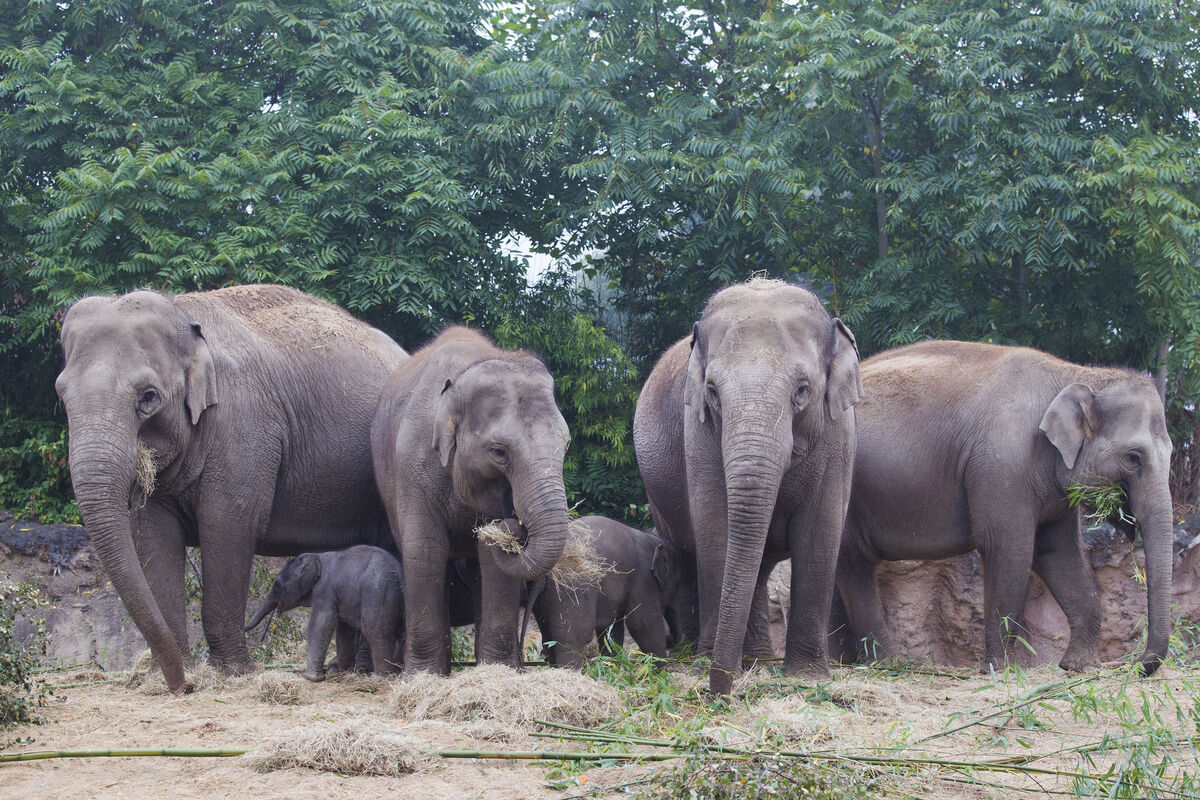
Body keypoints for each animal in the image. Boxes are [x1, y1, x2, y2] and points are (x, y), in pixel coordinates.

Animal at [244, 545, 403, 680]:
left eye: (277, 585)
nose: (260, 639)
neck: (316, 557)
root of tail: (398, 574)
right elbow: (344, 629)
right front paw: (344, 671)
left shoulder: (324, 590)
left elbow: (322, 623)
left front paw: (311, 678)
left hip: (377, 593)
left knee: (375, 631)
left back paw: (381, 677)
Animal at [371, 326, 571, 674]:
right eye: (499, 452)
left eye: (566, 444)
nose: (510, 521)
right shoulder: (412, 464)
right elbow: (425, 549)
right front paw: (422, 676)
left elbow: (492, 560)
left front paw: (498, 671)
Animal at [529, 515, 691, 667]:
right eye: (678, 583)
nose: (670, 639)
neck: (651, 539)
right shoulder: (643, 579)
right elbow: (643, 623)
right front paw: (661, 671)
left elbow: (612, 629)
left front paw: (613, 667)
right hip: (571, 588)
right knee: (574, 635)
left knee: (548, 635)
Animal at [633, 278, 863, 694]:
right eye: (712, 392)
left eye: (802, 390)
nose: (719, 696)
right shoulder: (698, 433)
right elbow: (715, 529)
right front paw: (709, 666)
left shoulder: (840, 433)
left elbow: (819, 534)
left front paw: (806, 677)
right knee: (687, 554)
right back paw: (708, 654)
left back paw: (755, 659)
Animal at [836, 340, 1173, 675]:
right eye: (1133, 457)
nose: (1136, 665)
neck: (1077, 374)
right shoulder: (1002, 467)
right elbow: (1008, 550)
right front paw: (1002, 669)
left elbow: (1058, 553)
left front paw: (1081, 667)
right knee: (854, 563)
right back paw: (885, 663)